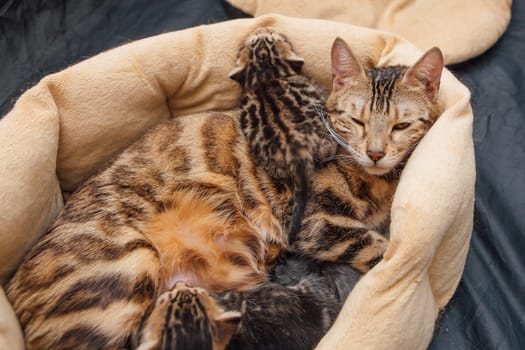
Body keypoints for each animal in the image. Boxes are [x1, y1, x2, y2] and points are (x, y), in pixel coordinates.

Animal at [229, 27, 336, 242]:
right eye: (277, 36)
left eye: (267, 38)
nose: (263, 27)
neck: (265, 74)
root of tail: (297, 152)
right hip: (325, 142)